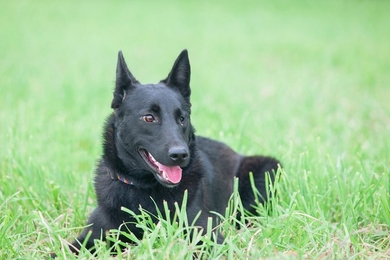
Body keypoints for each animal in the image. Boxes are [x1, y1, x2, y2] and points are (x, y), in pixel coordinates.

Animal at [68, 49, 280, 255]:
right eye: (149, 118)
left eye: (182, 118)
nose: (180, 155)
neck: (145, 188)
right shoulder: (92, 236)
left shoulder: (205, 234)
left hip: (268, 168)